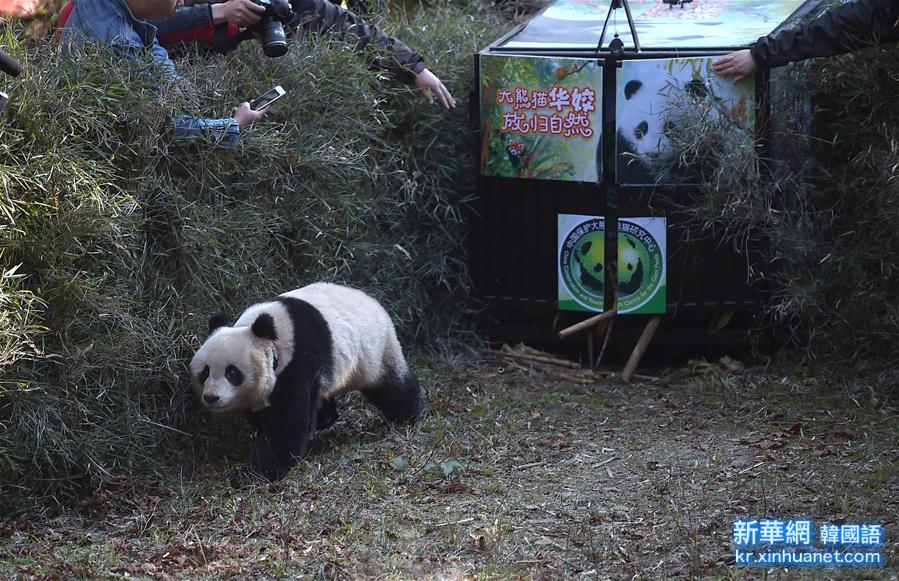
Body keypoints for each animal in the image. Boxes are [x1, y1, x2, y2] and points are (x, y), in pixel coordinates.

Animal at [190, 282, 422, 480]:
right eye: (205, 372)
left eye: (232, 372)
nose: (211, 397)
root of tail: (374, 301)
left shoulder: (299, 359)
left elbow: (289, 420)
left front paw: (256, 472)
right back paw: (326, 417)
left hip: (375, 351)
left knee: (392, 387)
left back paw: (409, 414)